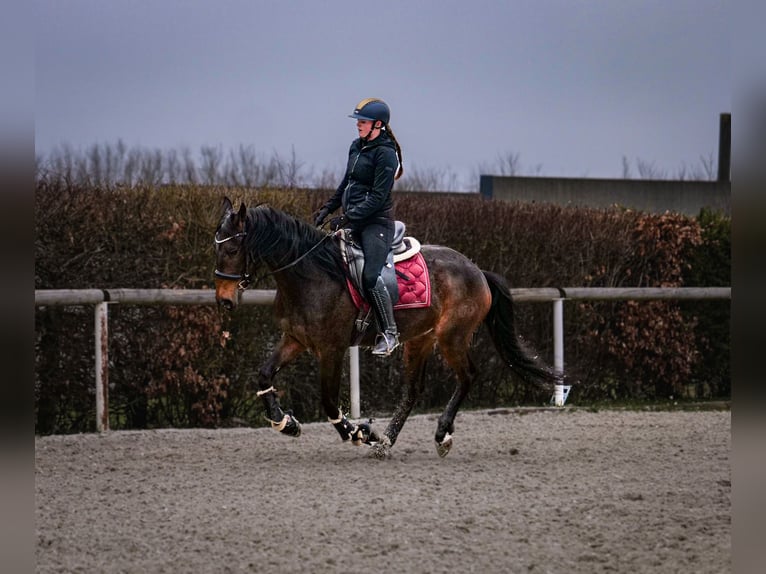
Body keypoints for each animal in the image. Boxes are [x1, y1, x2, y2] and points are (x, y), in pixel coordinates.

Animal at [213, 198, 560, 460]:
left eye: (231, 250)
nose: (224, 300)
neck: (311, 275)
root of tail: (477, 270)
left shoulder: (331, 349)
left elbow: (328, 401)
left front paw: (357, 432)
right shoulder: (294, 339)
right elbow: (264, 374)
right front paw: (284, 422)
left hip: (452, 337)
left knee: (468, 376)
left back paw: (440, 434)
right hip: (420, 340)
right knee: (413, 390)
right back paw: (386, 442)